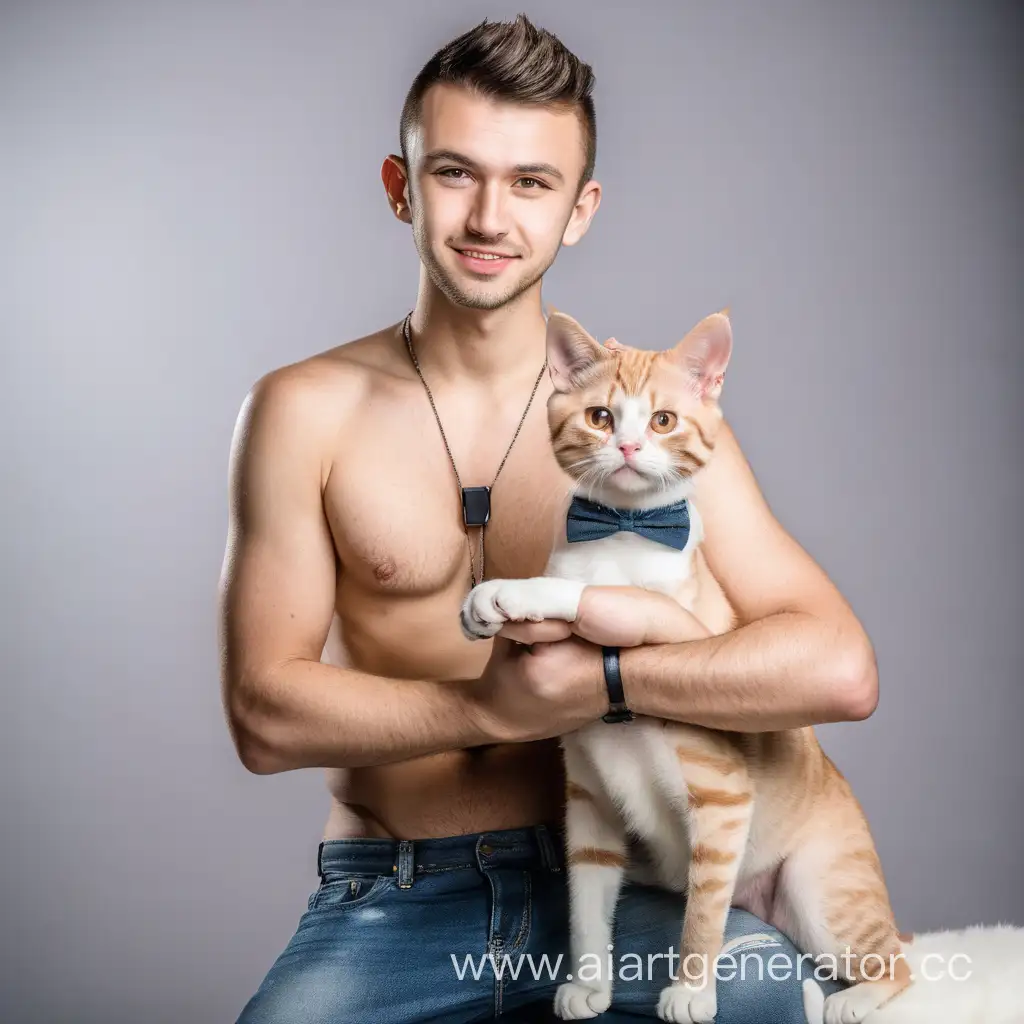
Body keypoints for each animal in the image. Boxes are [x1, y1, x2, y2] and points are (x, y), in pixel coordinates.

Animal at [460, 311, 909, 1024]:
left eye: (664, 420)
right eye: (599, 416)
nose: (627, 447)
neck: (619, 531)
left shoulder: (721, 794)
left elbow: (702, 913)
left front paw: (692, 992)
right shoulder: (589, 805)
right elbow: (586, 906)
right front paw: (590, 983)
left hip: (819, 891)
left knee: (899, 960)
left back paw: (853, 1000)